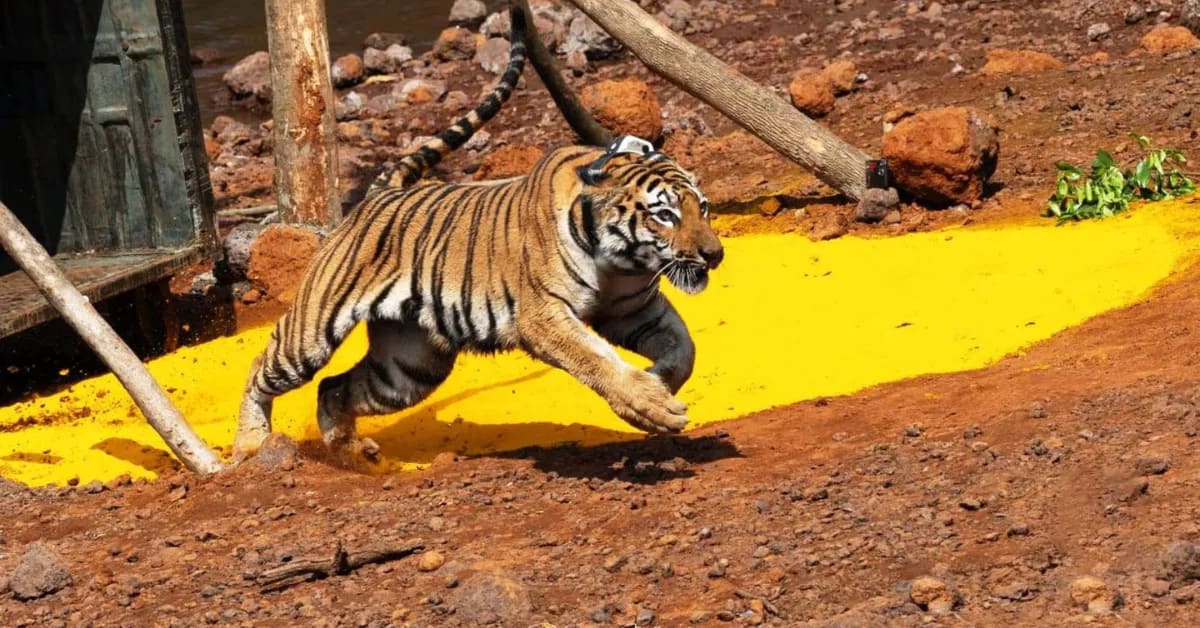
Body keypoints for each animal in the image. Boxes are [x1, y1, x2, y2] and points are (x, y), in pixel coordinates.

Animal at [233, 17, 724, 465]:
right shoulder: (543, 316)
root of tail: (380, 193)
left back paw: (351, 453)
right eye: (665, 215)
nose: (714, 254)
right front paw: (652, 404)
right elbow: (595, 358)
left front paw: (661, 383)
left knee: (334, 387)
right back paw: (251, 446)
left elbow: (685, 347)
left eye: (703, 207)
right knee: (262, 369)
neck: (621, 263)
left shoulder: (634, 309)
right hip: (312, 332)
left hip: (409, 367)